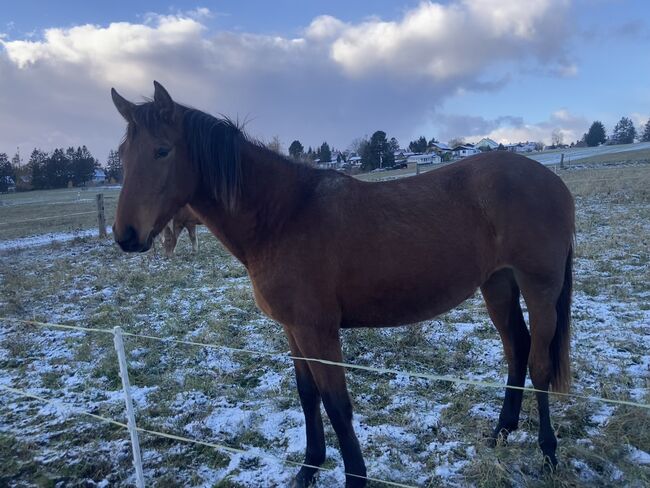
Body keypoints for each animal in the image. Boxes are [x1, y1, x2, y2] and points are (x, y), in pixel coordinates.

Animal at [111, 82, 572, 486]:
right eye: (123, 155)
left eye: (162, 150)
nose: (126, 235)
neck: (283, 216)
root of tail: (552, 182)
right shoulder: (293, 330)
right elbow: (307, 395)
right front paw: (308, 469)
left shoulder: (318, 332)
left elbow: (336, 403)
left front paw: (354, 477)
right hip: (497, 284)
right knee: (516, 348)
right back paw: (501, 434)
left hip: (540, 288)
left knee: (539, 364)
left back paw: (548, 454)